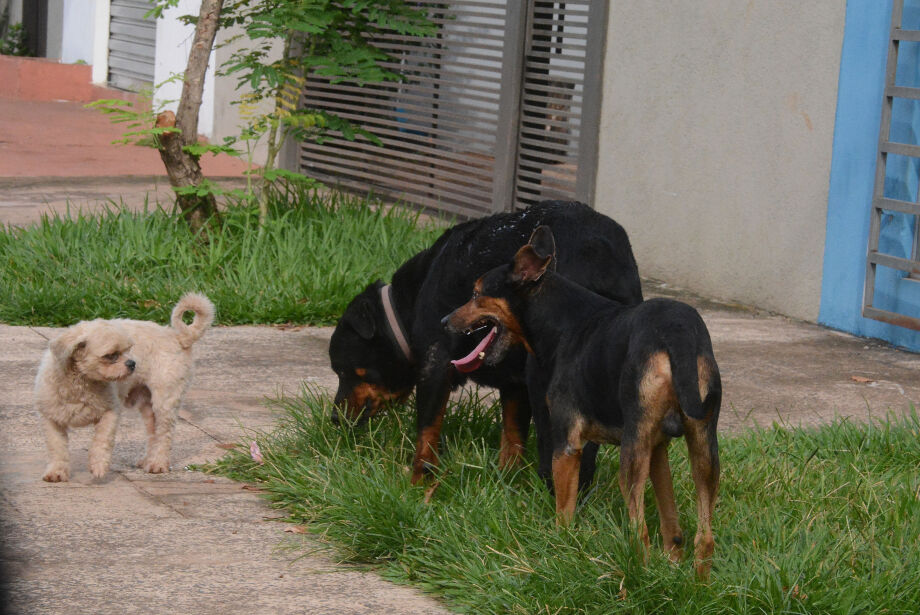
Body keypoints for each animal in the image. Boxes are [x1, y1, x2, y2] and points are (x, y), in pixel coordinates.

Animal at [35, 294, 215, 482]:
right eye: (111, 356)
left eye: (129, 350)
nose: (132, 363)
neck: (82, 383)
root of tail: (178, 337)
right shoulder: (51, 419)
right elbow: (57, 448)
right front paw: (56, 471)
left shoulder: (110, 413)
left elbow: (101, 441)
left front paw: (98, 466)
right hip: (148, 406)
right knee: (153, 433)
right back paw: (148, 460)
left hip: (164, 401)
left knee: (164, 434)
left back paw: (158, 463)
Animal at [328, 202, 644, 486]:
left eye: (344, 371)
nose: (334, 418)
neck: (406, 307)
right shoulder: (516, 383)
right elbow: (513, 436)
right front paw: (507, 482)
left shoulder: (435, 362)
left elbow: (427, 435)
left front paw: (418, 486)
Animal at [444, 225, 720, 576]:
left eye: (477, 293)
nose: (444, 321)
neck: (562, 322)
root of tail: (677, 330)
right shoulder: (657, 449)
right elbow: (672, 525)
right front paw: (671, 567)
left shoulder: (566, 445)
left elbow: (564, 513)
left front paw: (559, 551)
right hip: (703, 448)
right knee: (704, 537)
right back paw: (696, 582)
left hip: (631, 451)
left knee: (639, 532)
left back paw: (637, 572)